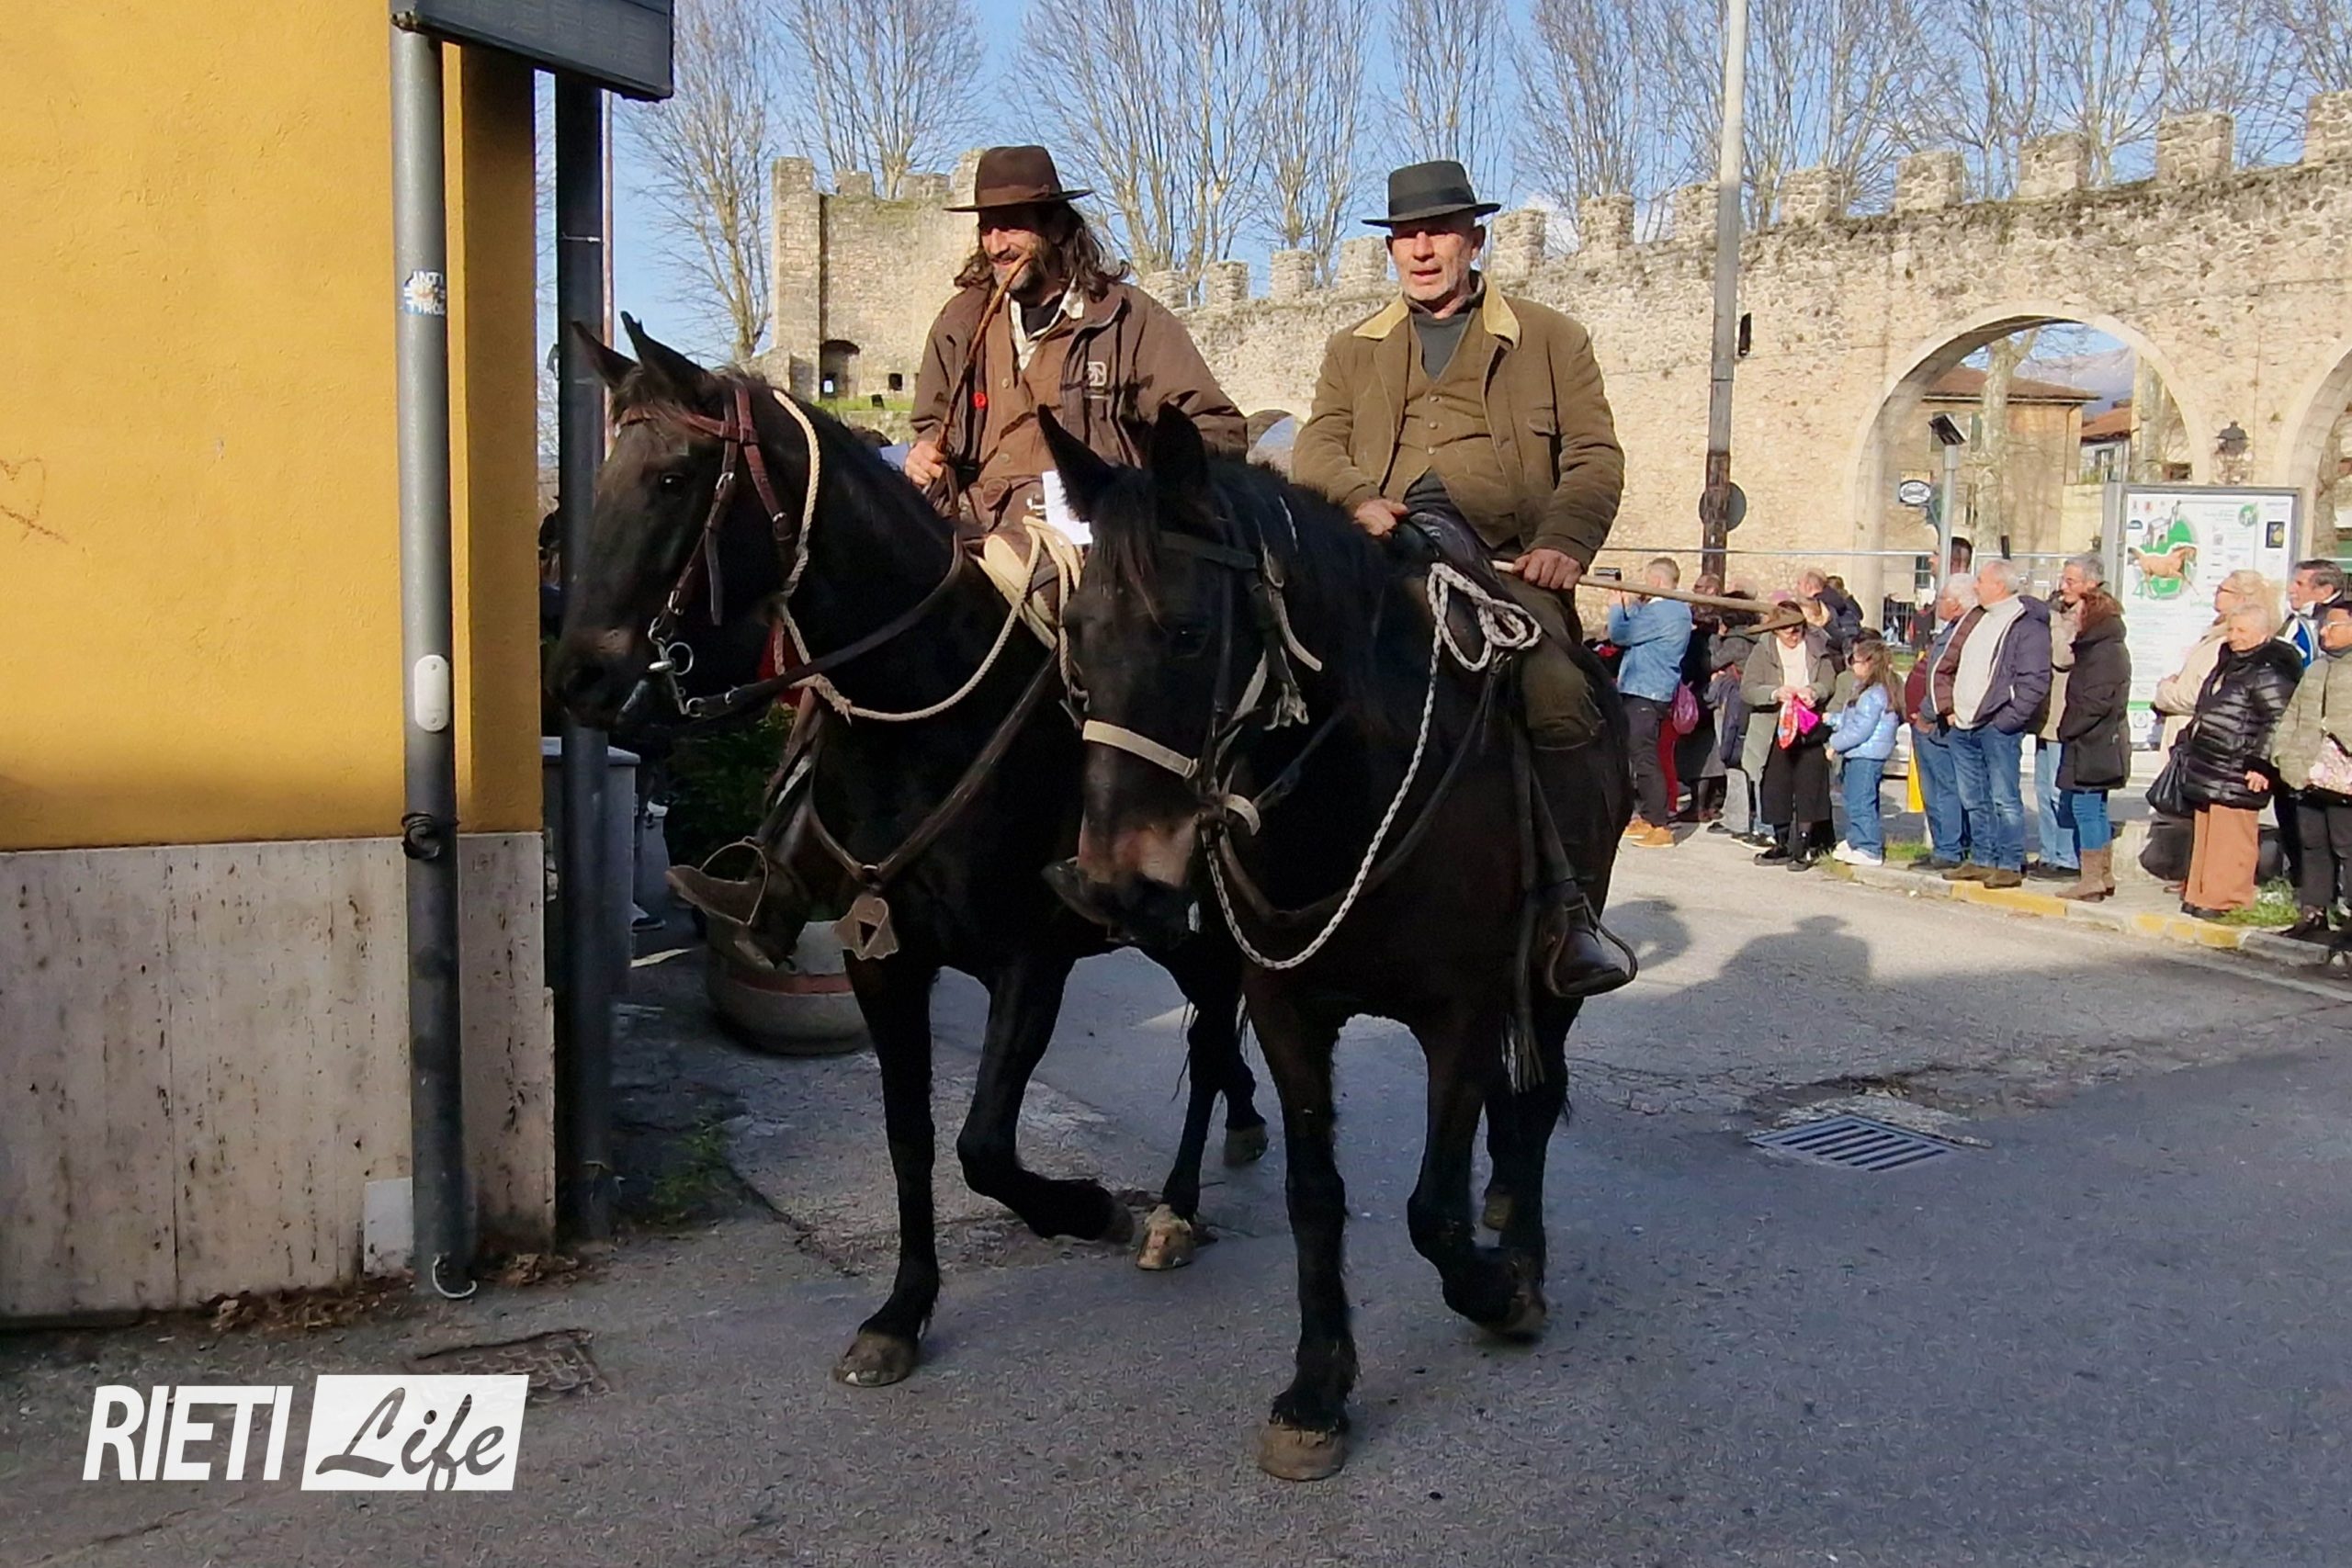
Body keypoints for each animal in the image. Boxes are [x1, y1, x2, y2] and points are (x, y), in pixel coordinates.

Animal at [546, 320, 1269, 1388]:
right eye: (603, 475)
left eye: (675, 477)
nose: (579, 677)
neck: (928, 714)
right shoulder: (881, 959)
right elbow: (910, 1135)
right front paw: (903, 1309)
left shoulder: (1031, 960)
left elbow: (983, 1146)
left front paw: (1089, 1207)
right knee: (1216, 1028)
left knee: (1214, 1025)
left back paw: (1175, 1206)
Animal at [1045, 406, 1627, 1480]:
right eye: (1073, 636)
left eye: (1186, 633)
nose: (1109, 882)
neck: (1355, 790)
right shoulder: (1287, 1013)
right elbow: (1314, 1194)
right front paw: (1317, 1388)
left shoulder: (1460, 1013)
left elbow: (1430, 1208)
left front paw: (1500, 1290)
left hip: (1554, 972)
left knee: (1537, 1100)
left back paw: (1519, 1243)